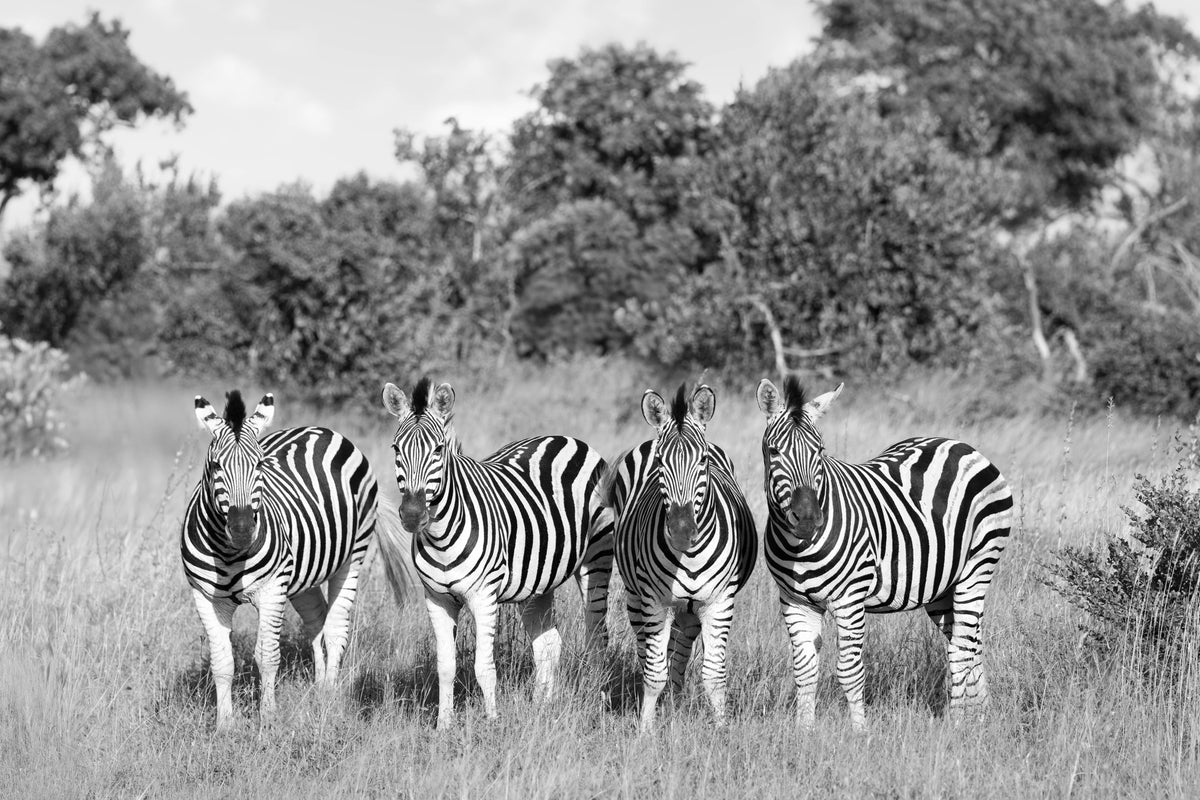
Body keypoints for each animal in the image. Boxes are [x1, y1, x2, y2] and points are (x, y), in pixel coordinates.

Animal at [183, 391, 378, 729]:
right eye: (216, 466)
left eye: (260, 464)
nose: (243, 530)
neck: (229, 553)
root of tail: (318, 429)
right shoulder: (205, 596)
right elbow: (222, 661)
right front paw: (224, 725)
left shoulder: (273, 590)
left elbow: (268, 656)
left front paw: (268, 718)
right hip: (303, 574)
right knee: (317, 620)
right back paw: (320, 687)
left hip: (353, 555)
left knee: (336, 627)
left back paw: (330, 694)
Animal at [379, 377, 613, 728]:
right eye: (396, 449)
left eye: (438, 449)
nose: (412, 515)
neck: (440, 536)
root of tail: (567, 438)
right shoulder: (436, 599)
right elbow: (445, 667)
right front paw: (443, 727)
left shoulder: (483, 596)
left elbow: (484, 668)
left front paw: (492, 723)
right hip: (536, 583)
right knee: (548, 643)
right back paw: (541, 708)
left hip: (595, 563)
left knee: (597, 638)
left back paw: (597, 704)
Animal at [603, 384, 757, 732]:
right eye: (660, 462)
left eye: (703, 461)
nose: (682, 533)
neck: (690, 558)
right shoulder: (654, 602)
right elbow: (653, 671)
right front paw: (646, 731)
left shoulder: (719, 602)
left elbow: (713, 674)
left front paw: (721, 730)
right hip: (636, 599)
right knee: (651, 653)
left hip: (690, 611)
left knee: (679, 654)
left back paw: (674, 704)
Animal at [756, 377, 1014, 729]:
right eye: (773, 451)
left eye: (820, 450)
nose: (808, 519)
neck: (800, 549)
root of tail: (960, 444)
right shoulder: (795, 601)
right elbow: (804, 670)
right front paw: (804, 732)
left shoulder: (849, 600)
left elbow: (849, 672)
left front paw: (859, 733)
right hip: (941, 587)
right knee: (971, 643)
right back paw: (982, 716)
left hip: (977, 567)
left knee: (961, 649)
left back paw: (958, 724)